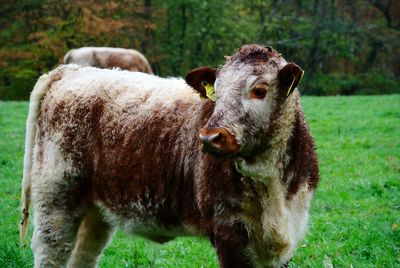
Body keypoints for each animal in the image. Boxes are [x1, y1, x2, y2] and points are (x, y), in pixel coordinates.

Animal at [21, 44, 318, 268]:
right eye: (217, 93)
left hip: (94, 211)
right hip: (56, 199)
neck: (272, 186)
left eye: (259, 90)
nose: (210, 137)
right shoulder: (228, 231)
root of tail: (71, 71)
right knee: (51, 252)